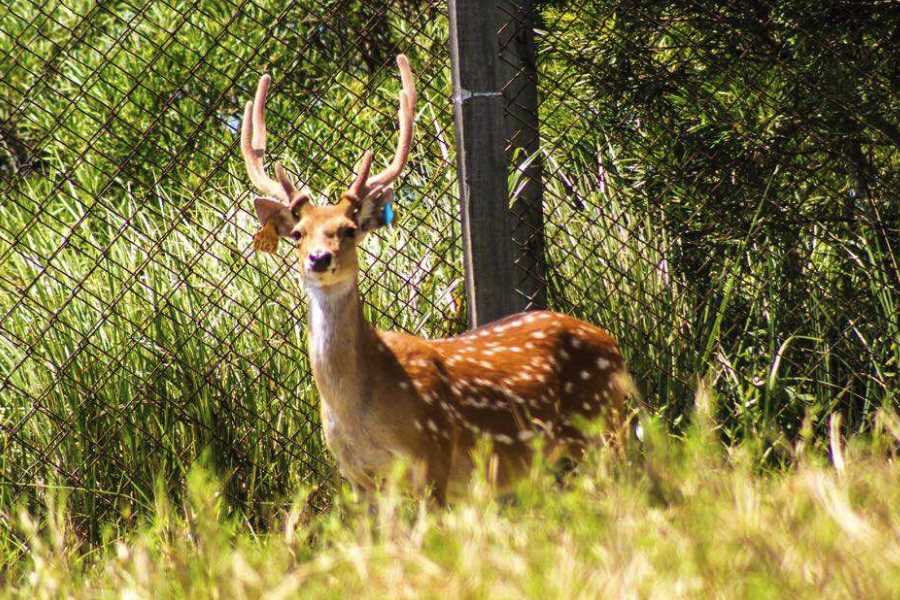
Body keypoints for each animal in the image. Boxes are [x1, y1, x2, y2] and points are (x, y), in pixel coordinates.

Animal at [237, 54, 632, 504]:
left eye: (348, 230)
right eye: (299, 234)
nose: (319, 259)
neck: (357, 410)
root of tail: (613, 343)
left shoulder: (433, 453)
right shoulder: (357, 477)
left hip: (605, 425)